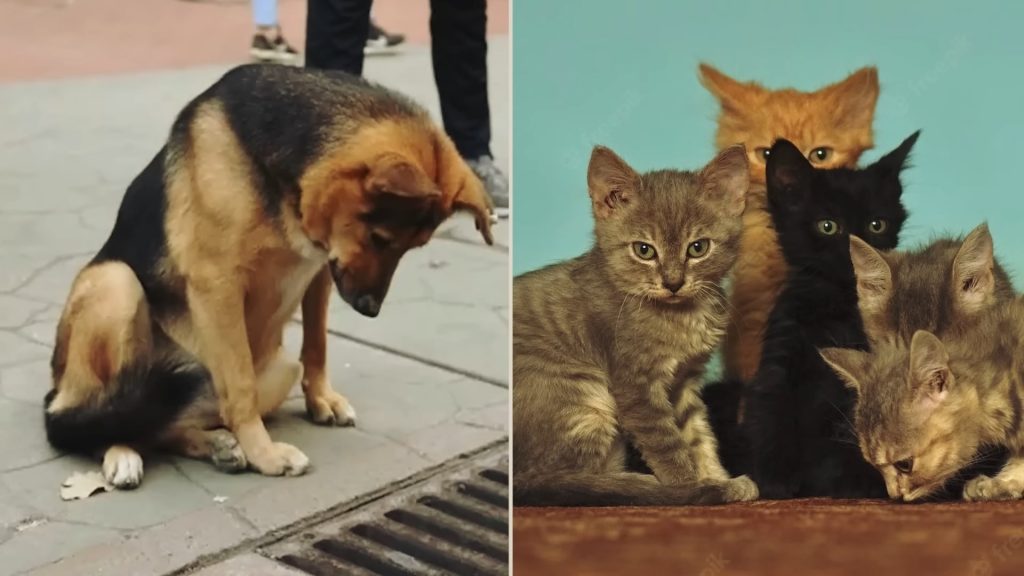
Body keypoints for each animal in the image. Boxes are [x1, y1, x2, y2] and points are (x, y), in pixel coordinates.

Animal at [46, 65, 493, 485]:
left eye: (410, 247)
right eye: (380, 238)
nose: (369, 309)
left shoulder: (321, 270)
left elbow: (316, 344)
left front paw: (321, 399)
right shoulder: (218, 284)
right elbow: (240, 385)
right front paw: (265, 455)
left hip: (275, 371)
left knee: (164, 424)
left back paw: (215, 445)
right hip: (116, 284)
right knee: (92, 421)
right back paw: (122, 451)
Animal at [512, 145, 761, 504]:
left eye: (698, 247)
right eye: (644, 250)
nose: (673, 282)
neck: (680, 317)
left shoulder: (684, 382)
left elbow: (698, 436)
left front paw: (715, 476)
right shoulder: (636, 387)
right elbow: (668, 446)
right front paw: (696, 486)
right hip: (585, 397)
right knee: (569, 481)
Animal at [737, 130, 921, 498]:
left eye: (876, 225)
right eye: (827, 226)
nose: (857, 252)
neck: (838, 305)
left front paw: (849, 482)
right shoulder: (781, 357)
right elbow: (771, 411)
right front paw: (776, 481)